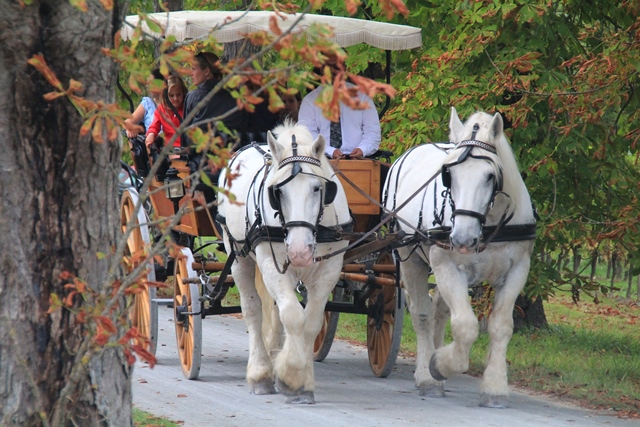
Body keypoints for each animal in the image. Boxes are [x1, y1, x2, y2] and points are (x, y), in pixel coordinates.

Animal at [219, 121, 350, 404]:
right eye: (277, 191)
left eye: (317, 188)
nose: (300, 251)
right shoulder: (271, 264)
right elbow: (292, 315)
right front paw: (290, 374)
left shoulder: (329, 270)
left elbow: (310, 322)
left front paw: (303, 383)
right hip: (239, 255)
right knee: (253, 310)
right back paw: (260, 373)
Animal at [382, 107, 536, 408]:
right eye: (448, 175)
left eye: (490, 175)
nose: (462, 239)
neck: (489, 224)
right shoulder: (447, 266)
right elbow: (465, 326)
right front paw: (439, 366)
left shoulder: (517, 271)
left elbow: (501, 326)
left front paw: (495, 387)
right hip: (410, 256)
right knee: (422, 313)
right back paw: (428, 376)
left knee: (439, 311)